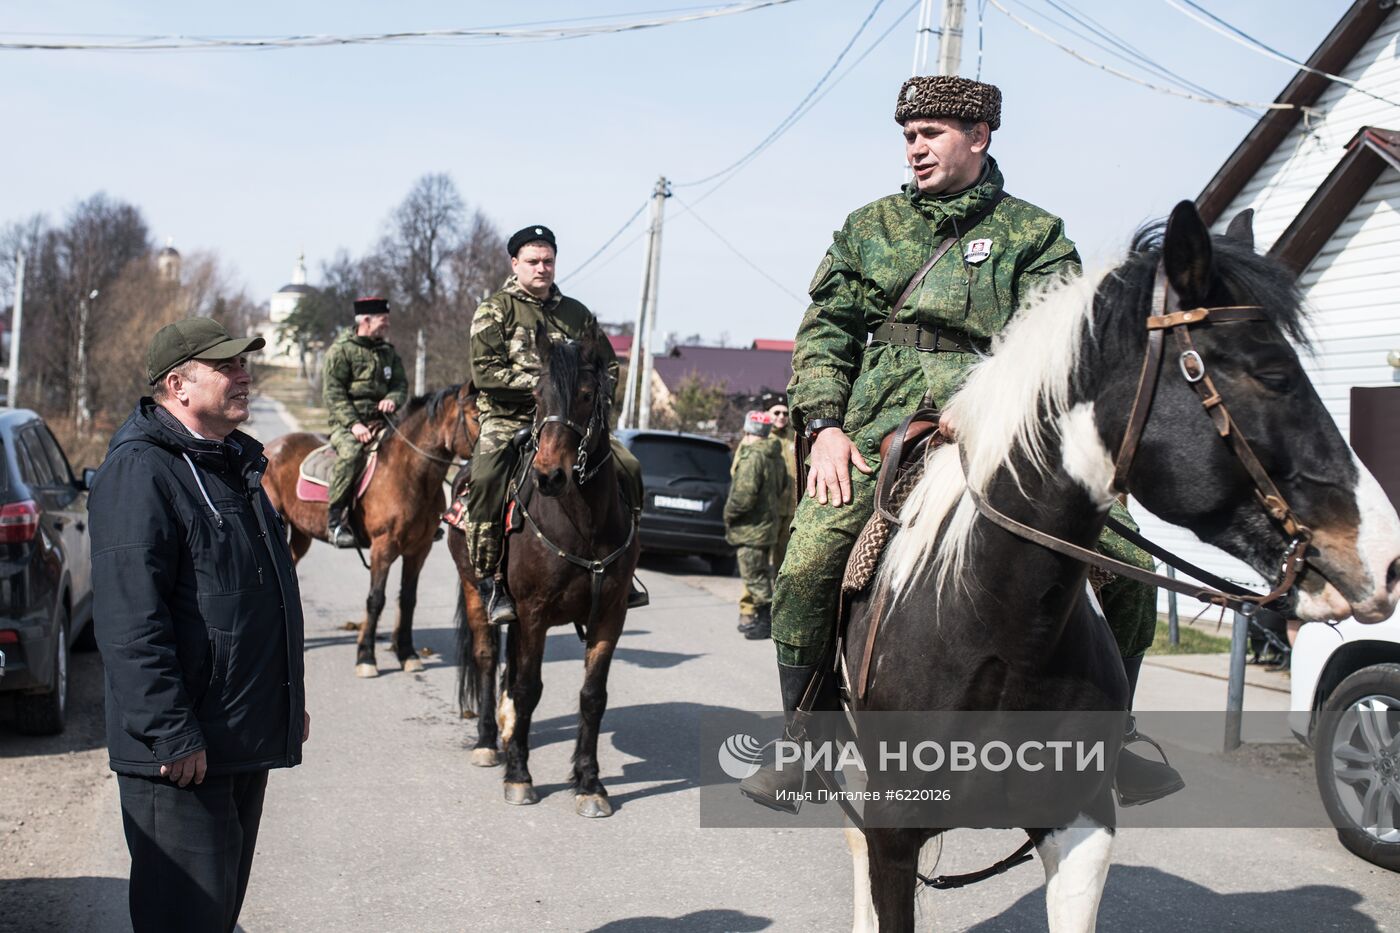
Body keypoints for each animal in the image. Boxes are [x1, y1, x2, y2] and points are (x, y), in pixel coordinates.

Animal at [263, 383, 481, 675]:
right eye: (476, 416)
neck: (410, 474)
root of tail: (271, 448)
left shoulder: (418, 550)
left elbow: (408, 600)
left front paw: (407, 654)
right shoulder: (383, 548)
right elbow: (376, 599)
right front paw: (366, 656)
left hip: (300, 534)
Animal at [448, 325, 641, 812]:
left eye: (589, 395)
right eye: (537, 395)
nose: (549, 476)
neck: (583, 524)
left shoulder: (610, 615)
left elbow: (592, 696)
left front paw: (589, 782)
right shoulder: (534, 612)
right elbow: (528, 689)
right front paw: (519, 775)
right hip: (477, 591)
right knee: (487, 659)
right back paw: (488, 742)